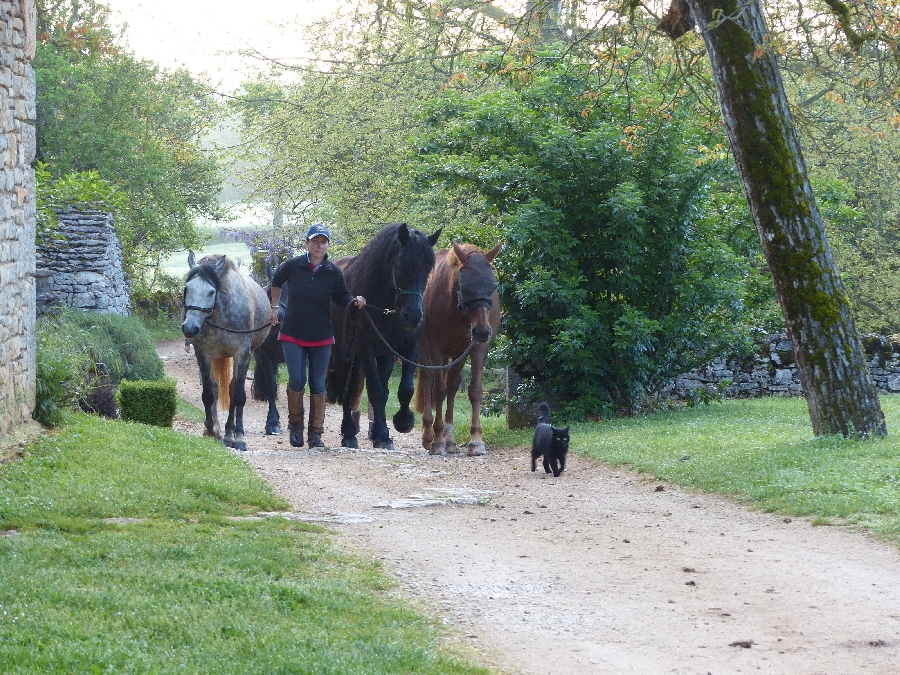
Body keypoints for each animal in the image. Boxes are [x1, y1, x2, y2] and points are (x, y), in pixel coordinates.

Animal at [181, 251, 268, 452]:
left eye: (211, 292)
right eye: (187, 289)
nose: (189, 328)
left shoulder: (242, 354)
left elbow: (238, 395)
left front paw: (239, 438)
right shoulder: (203, 354)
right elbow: (209, 392)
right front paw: (210, 429)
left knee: (232, 389)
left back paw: (230, 434)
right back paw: (223, 431)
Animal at [330, 224, 442, 452]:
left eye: (428, 269)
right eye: (401, 265)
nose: (413, 316)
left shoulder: (408, 347)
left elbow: (403, 389)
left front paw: (402, 422)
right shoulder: (366, 348)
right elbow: (375, 390)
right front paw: (382, 435)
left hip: (381, 355)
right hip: (344, 354)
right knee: (347, 389)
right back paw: (349, 433)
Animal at [414, 240, 500, 456]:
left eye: (493, 286)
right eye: (464, 286)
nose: (482, 331)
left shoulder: (475, 350)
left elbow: (474, 390)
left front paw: (476, 440)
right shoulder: (436, 350)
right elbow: (438, 391)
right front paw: (437, 441)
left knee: (452, 385)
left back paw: (450, 440)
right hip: (425, 350)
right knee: (428, 380)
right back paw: (429, 435)